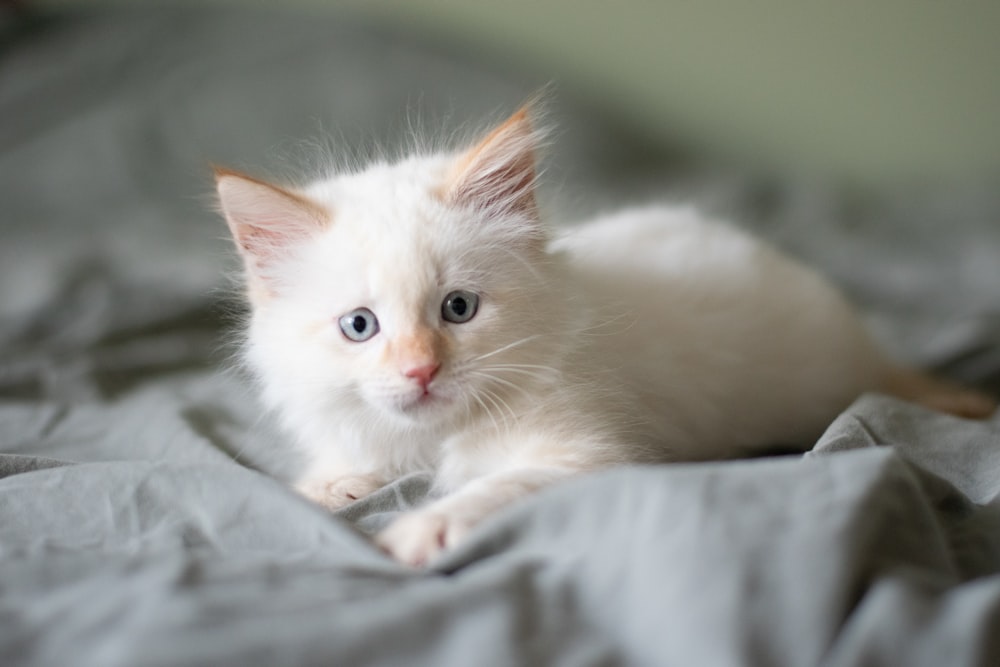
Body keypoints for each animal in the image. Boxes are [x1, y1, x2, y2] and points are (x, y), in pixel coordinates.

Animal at [215, 107, 996, 568]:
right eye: (360, 326)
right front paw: (331, 484)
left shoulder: (593, 455)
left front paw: (420, 529)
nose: (420, 373)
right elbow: (346, 460)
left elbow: (495, 485)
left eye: (458, 309)